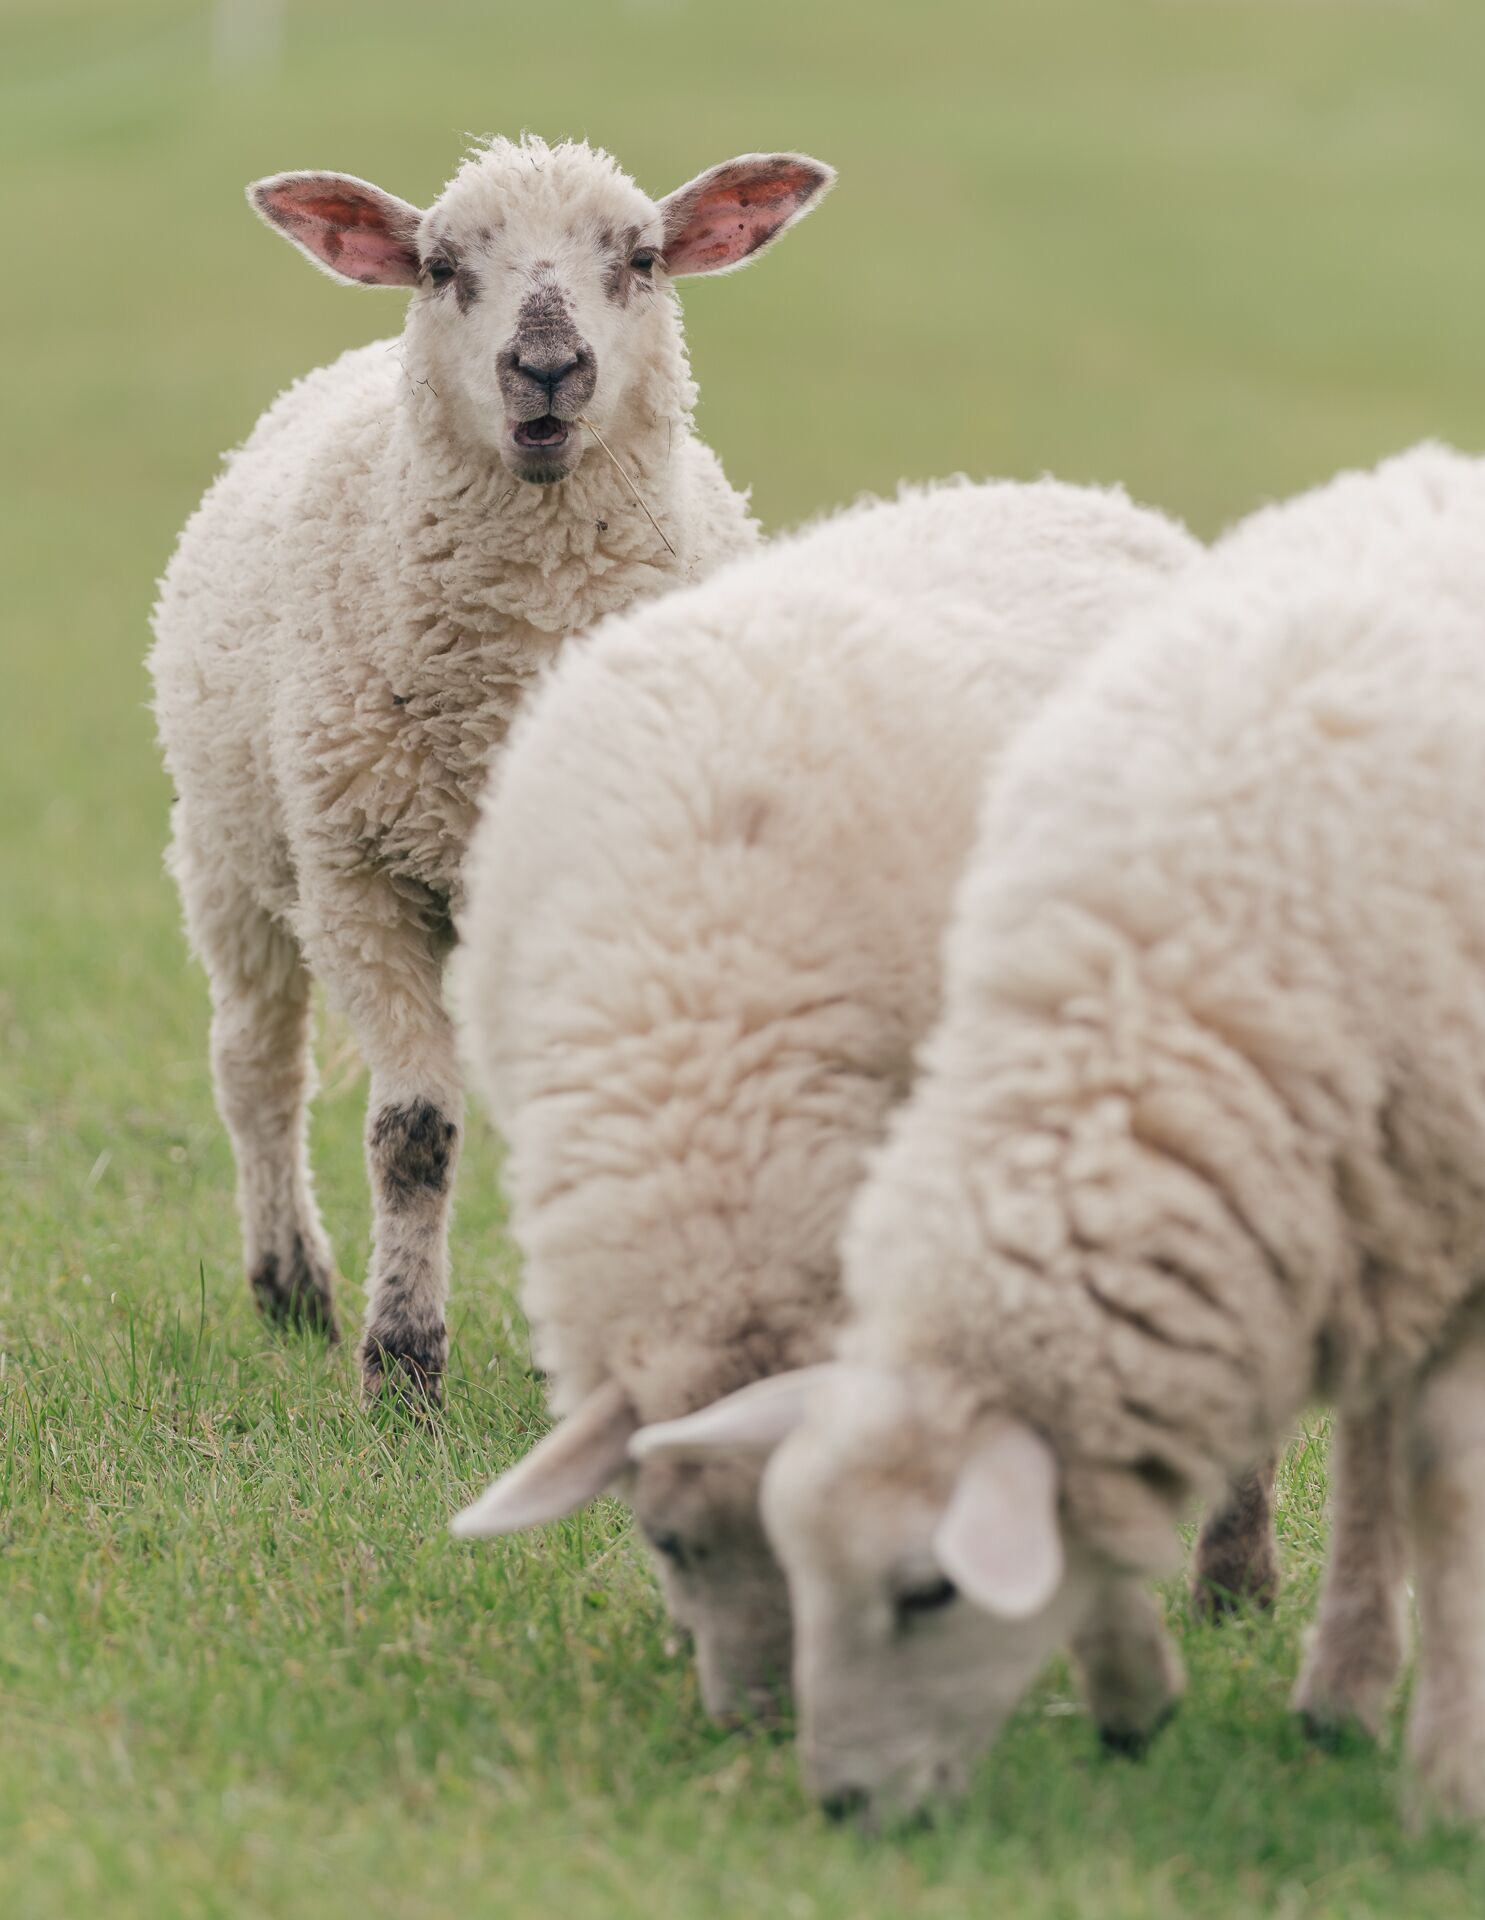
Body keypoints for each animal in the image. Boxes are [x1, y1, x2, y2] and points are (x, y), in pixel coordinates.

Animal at [148, 134, 833, 1404]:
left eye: (644, 259)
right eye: (439, 266)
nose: (547, 369)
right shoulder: (360, 881)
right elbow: (413, 1133)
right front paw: (402, 1363)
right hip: (227, 852)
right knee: (256, 1068)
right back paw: (291, 1284)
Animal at [655, 442, 1485, 1827]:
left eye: (929, 1589)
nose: (841, 1805)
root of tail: (1435, 469)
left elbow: (1454, 1483)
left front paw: (1448, 1783)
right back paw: (1342, 1688)